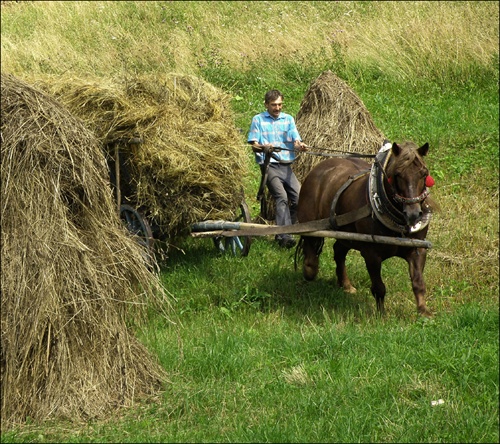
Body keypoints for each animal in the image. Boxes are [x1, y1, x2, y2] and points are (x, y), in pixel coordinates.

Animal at [294, 140, 436, 318]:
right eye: (397, 174)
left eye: (424, 174)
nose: (413, 214)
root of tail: (320, 167)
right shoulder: (371, 254)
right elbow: (379, 287)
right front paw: (381, 315)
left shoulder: (417, 249)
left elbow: (418, 282)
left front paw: (424, 311)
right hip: (309, 221)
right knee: (310, 243)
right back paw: (309, 270)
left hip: (347, 235)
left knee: (338, 250)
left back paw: (346, 284)